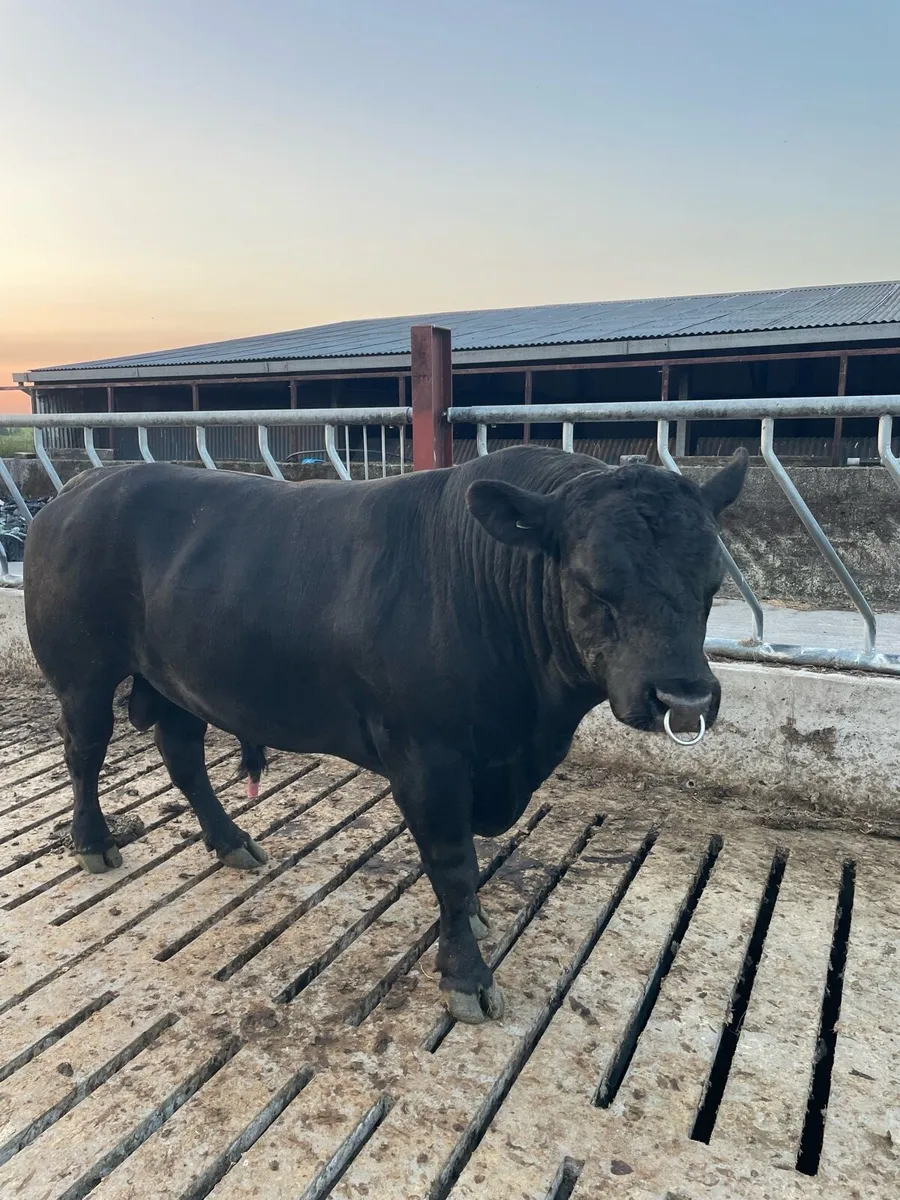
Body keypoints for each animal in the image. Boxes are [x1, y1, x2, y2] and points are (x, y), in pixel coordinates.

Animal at [24, 445, 747, 1023]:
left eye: (713, 582)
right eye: (595, 583)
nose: (684, 697)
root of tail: (80, 486)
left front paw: (473, 920)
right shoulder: (428, 760)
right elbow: (452, 865)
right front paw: (467, 974)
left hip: (176, 677)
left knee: (181, 753)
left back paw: (231, 842)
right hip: (82, 671)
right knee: (84, 751)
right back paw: (94, 842)